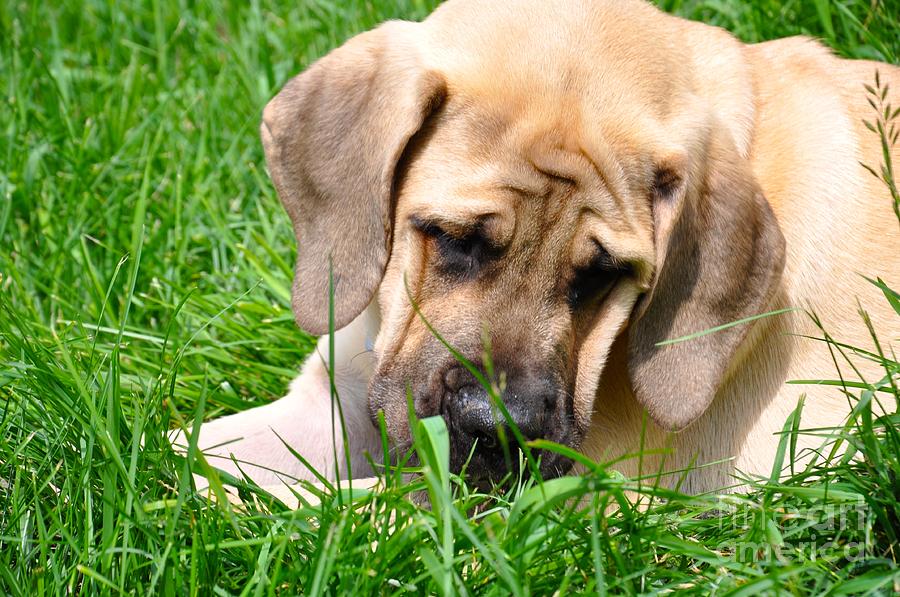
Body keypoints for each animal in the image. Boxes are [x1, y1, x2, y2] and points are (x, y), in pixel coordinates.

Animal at [172, 0, 896, 494]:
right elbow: (186, 444)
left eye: (603, 274)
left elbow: (314, 506)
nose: (499, 428)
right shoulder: (329, 401)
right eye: (452, 238)